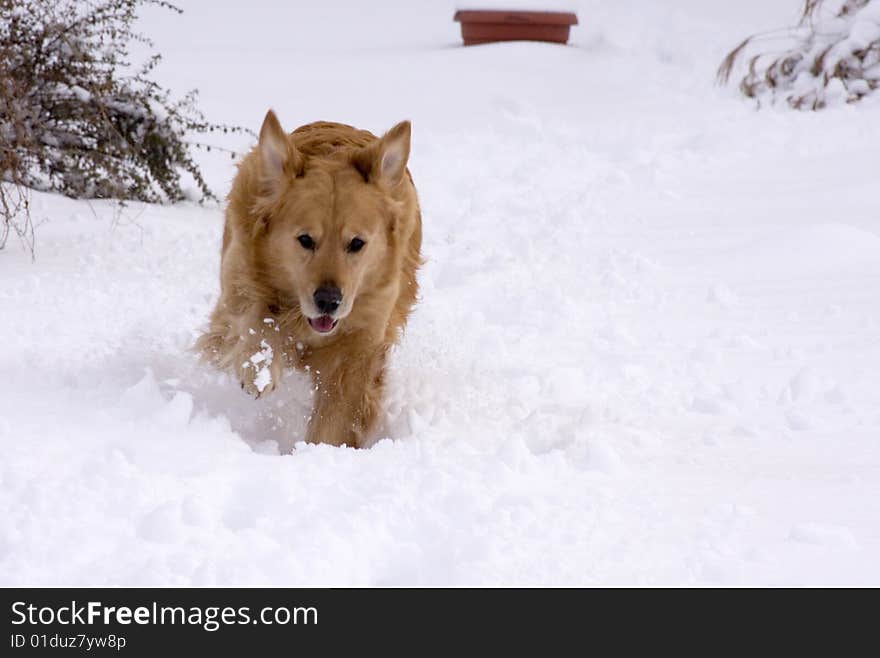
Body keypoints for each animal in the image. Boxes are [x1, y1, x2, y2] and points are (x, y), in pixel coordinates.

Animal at [197, 110, 422, 448]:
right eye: (305, 239)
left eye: (357, 243)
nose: (328, 301)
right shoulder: (241, 272)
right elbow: (255, 313)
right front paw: (259, 369)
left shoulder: (359, 345)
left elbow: (336, 417)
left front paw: (320, 452)